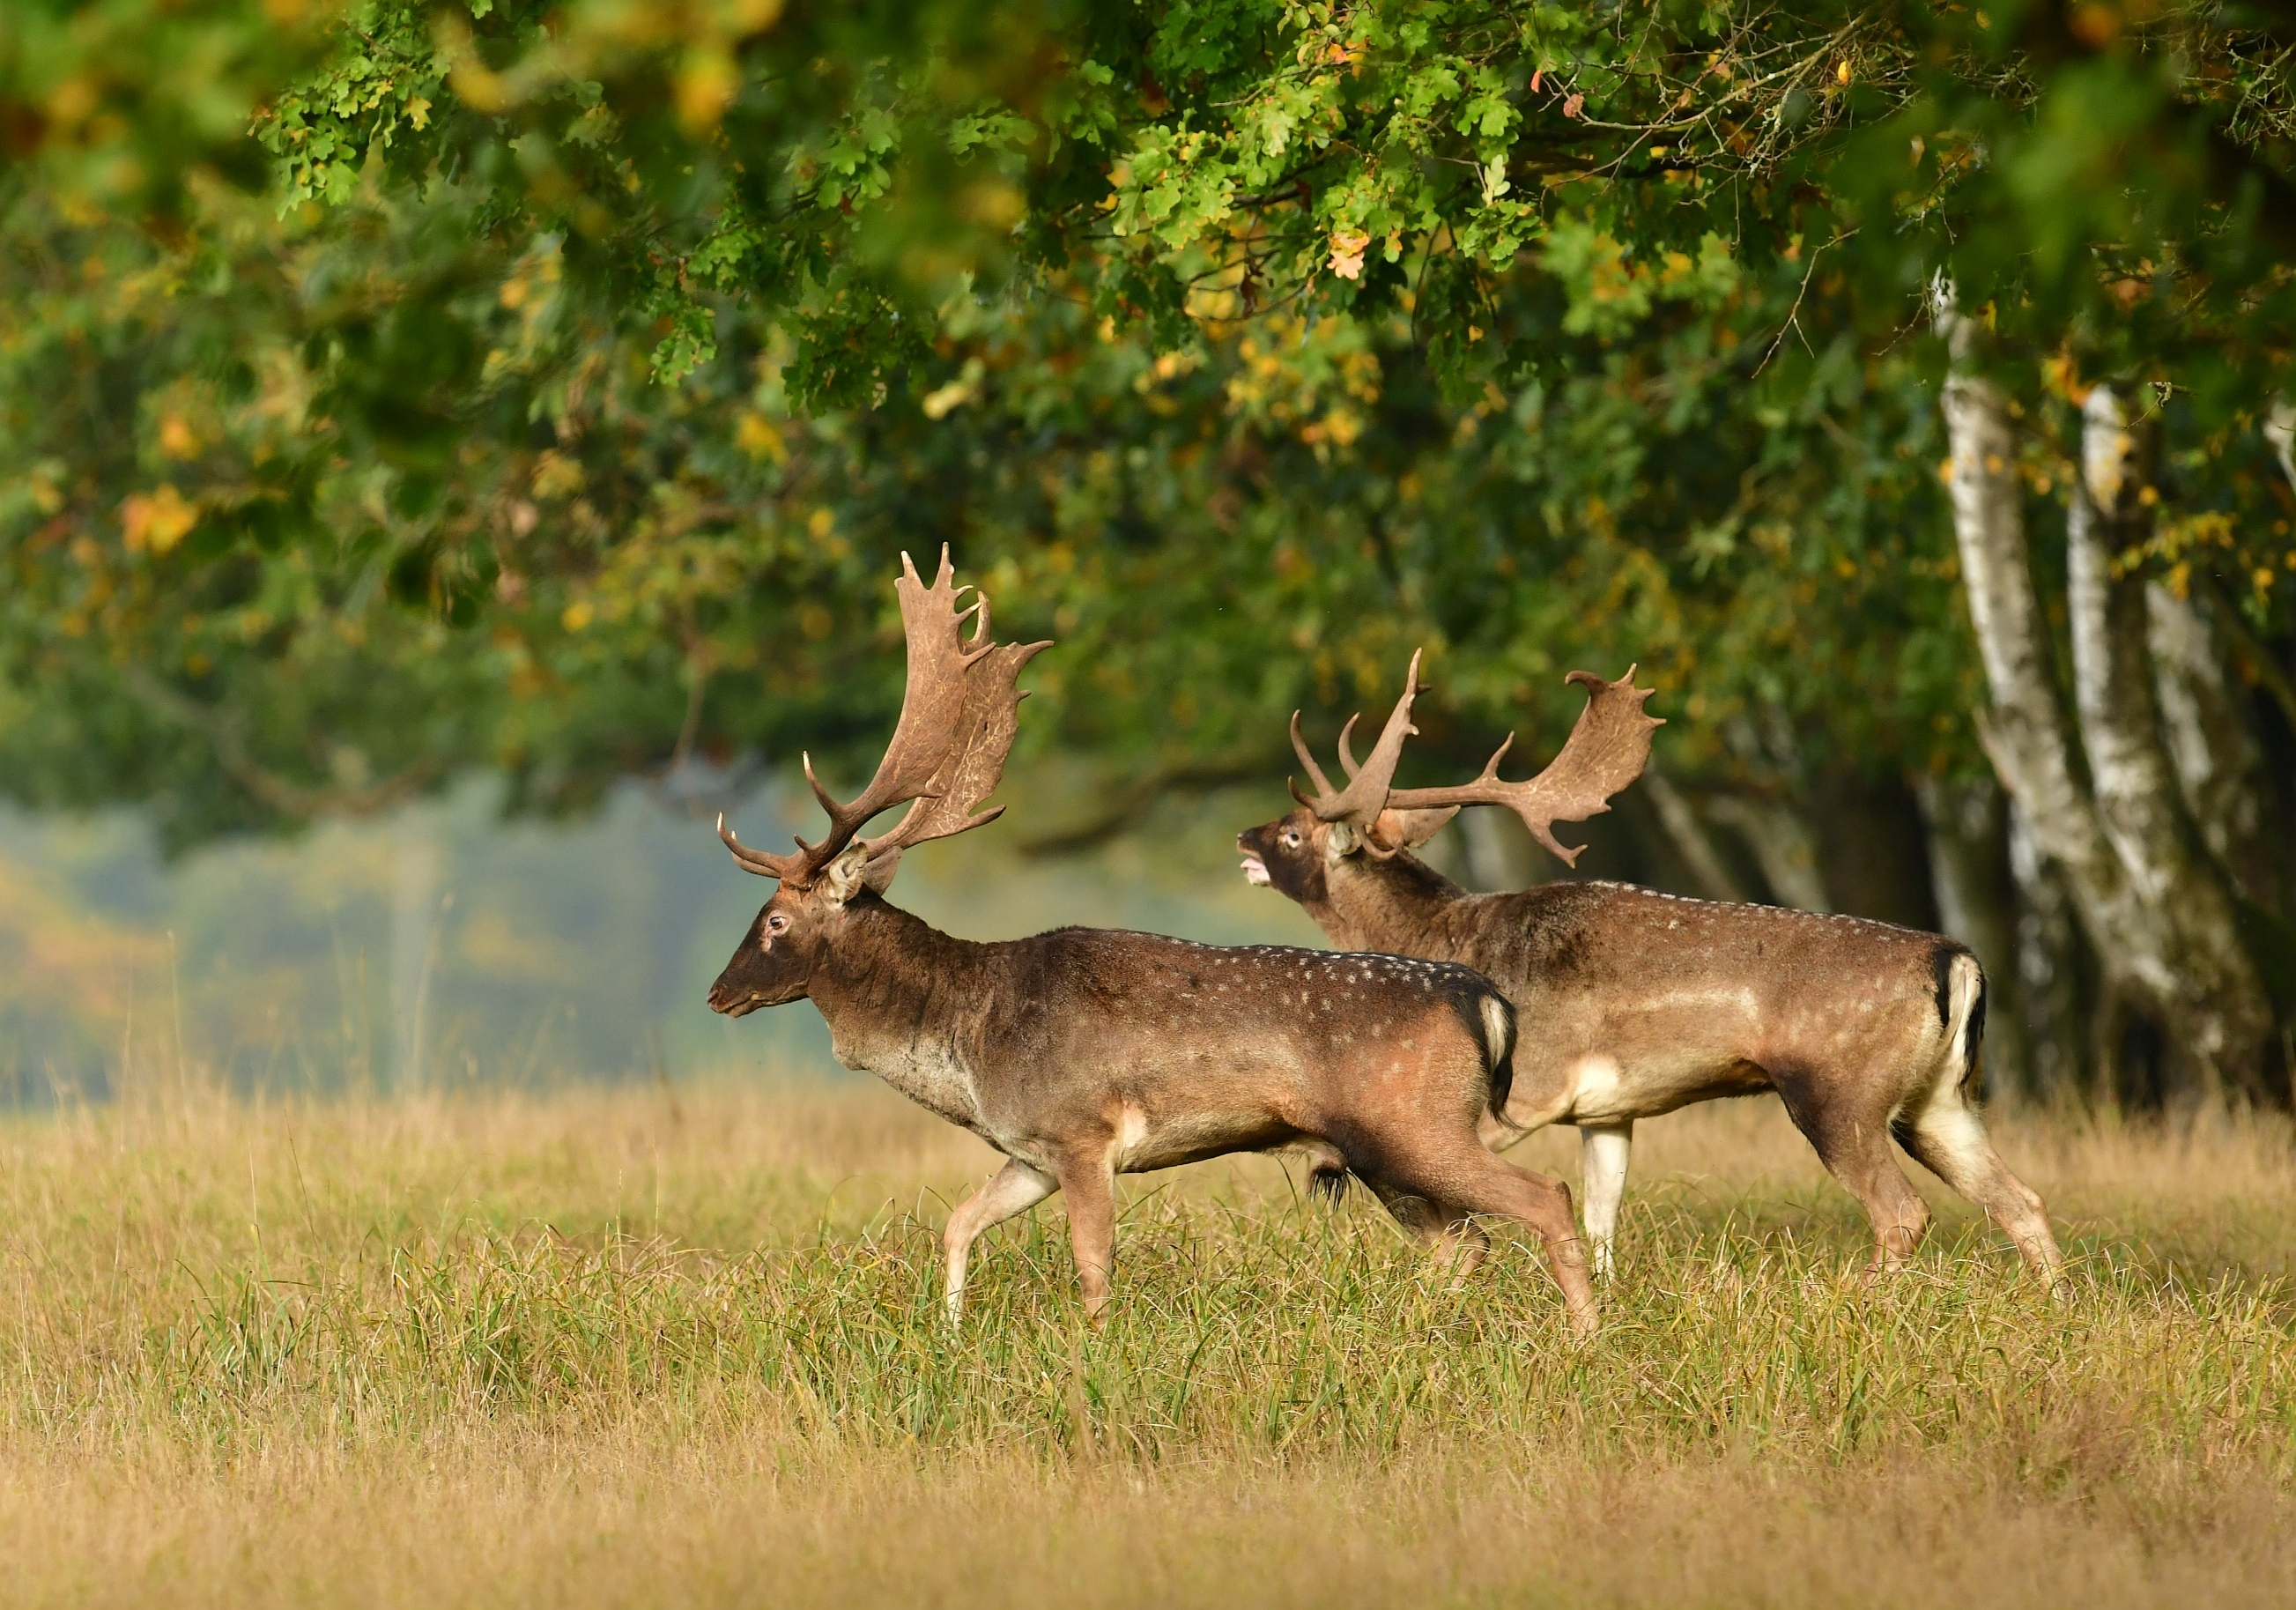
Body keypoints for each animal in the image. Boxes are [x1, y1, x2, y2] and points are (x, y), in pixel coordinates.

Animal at [711, 558, 1597, 1323]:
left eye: (777, 920)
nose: (719, 992)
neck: (972, 1044)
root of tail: (1485, 999)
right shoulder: (1029, 1151)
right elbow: (959, 1223)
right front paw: (951, 1332)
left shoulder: (1080, 1132)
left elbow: (1092, 1266)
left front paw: (1091, 1357)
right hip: (1385, 1154)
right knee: (1463, 1245)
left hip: (1419, 1125)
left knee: (1544, 1199)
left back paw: (1584, 1341)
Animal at [1248, 647, 2075, 1286]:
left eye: (1294, 832)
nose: (1245, 837)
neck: (1446, 934)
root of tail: (1956, 961)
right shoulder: (1607, 1111)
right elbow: (1601, 1220)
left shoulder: (1527, 1090)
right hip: (1937, 1100)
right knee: (2023, 1201)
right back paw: (2054, 1309)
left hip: (1840, 1092)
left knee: (1904, 1212)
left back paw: (1855, 1300)